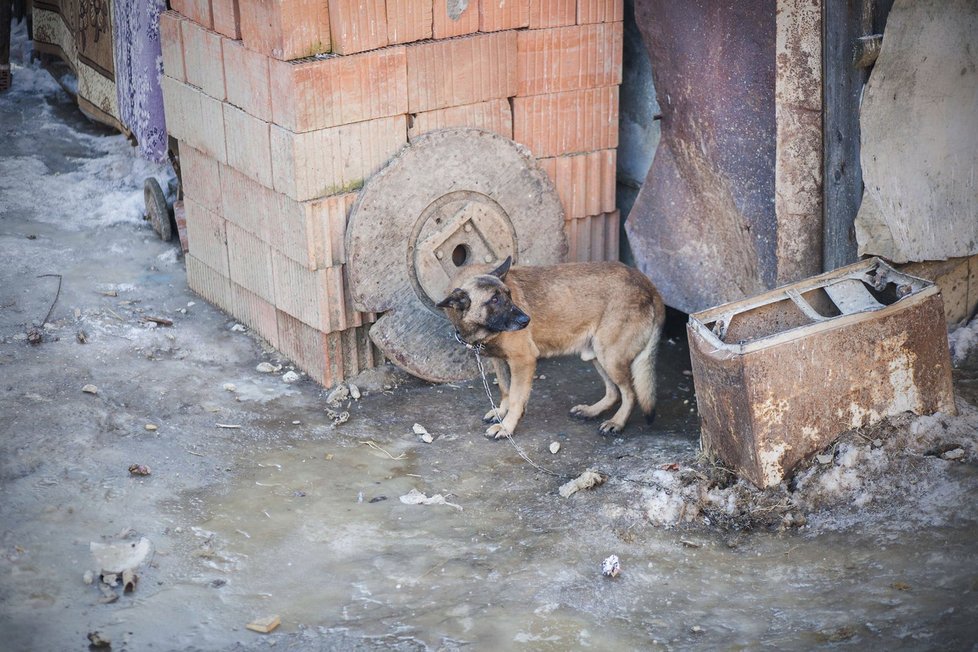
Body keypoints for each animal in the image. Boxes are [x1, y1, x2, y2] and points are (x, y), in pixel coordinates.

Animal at [436, 256, 660, 438]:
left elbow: (516, 398)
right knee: (614, 392)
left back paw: (617, 422)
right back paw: (592, 411)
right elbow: (505, 390)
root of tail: (647, 283)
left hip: (610, 356)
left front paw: (506, 426)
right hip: (596, 355)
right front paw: (501, 413)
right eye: (494, 299)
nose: (526, 320)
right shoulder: (499, 361)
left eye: (509, 295)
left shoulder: (523, 361)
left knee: (630, 394)